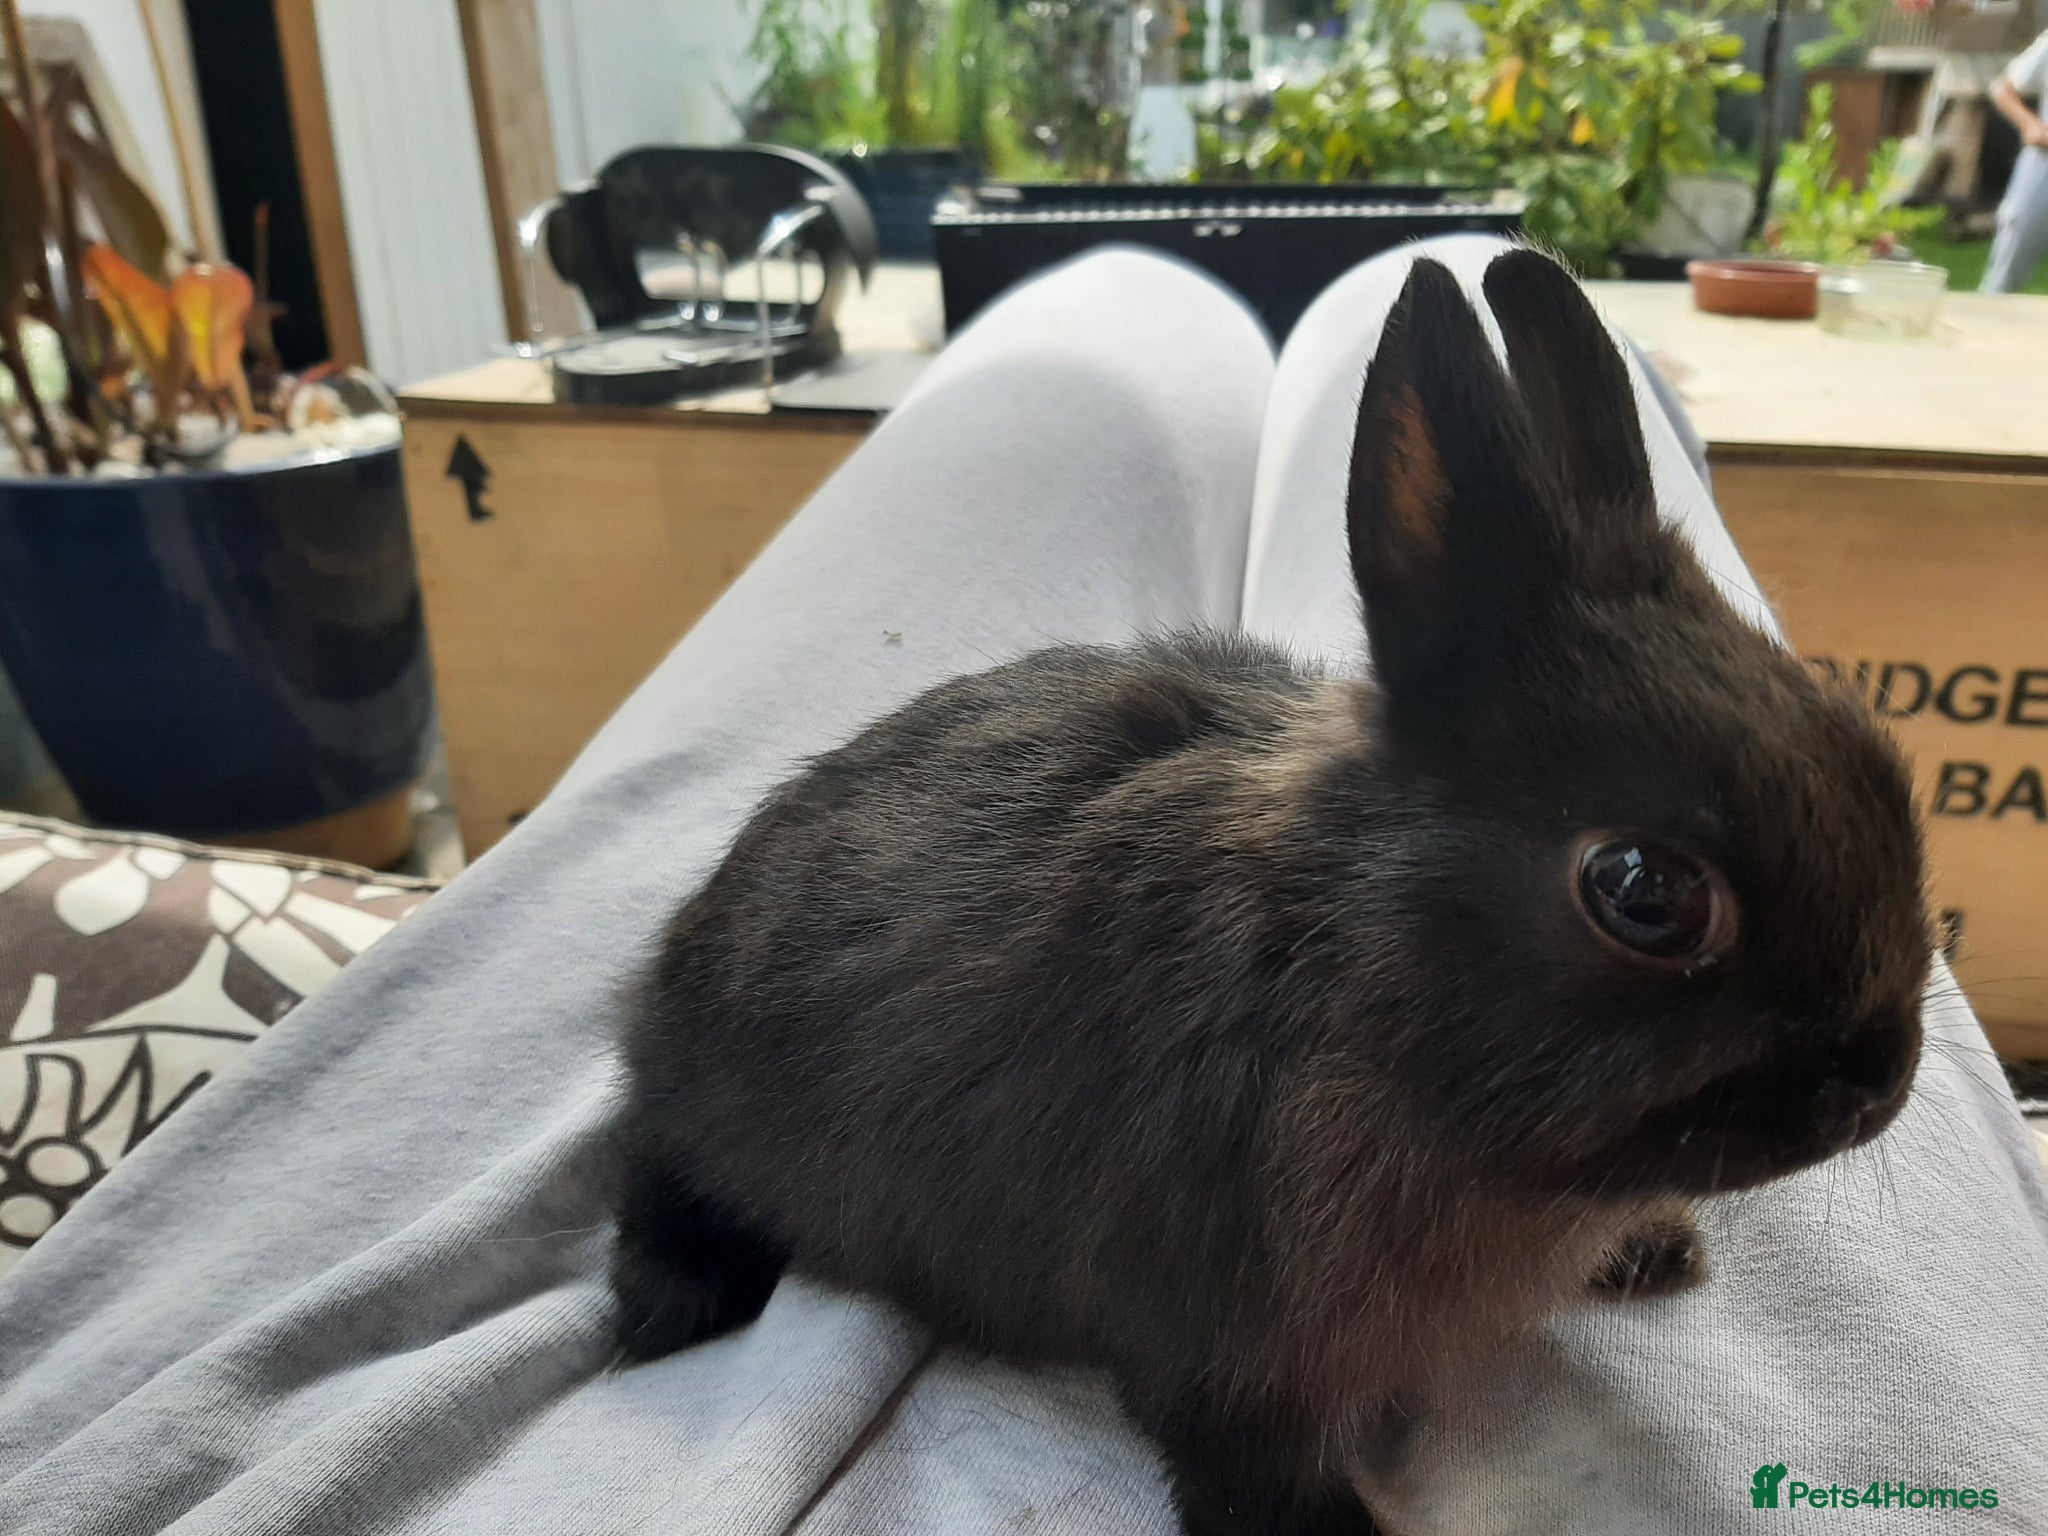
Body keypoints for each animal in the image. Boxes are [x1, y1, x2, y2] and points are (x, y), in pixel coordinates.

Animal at [609, 249, 1931, 1536]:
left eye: (1873, 761)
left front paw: (1657, 1251)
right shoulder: (1230, 1340)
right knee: (649, 1152)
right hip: (725, 1108)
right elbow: (1250, 1472)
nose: (1877, 1089)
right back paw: (667, 1307)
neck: (1354, 976)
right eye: (1642, 892)